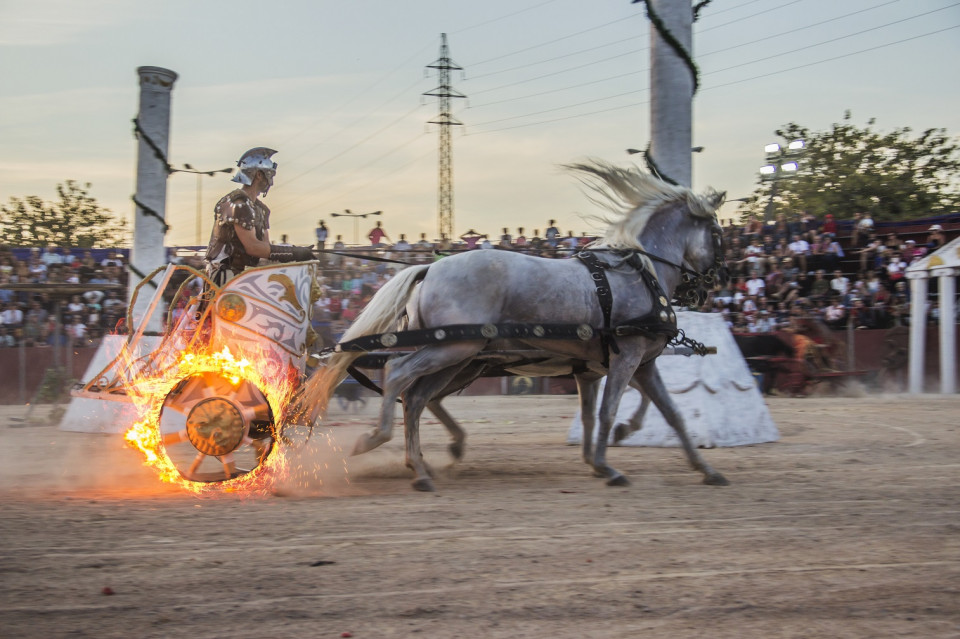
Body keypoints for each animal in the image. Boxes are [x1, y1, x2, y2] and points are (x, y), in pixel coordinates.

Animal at [300, 162, 728, 492]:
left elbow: (668, 413)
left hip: (458, 355)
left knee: (418, 397)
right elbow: (609, 411)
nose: (714, 283)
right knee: (397, 374)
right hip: (454, 350)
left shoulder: (633, 364)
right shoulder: (628, 357)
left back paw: (421, 465)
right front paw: (609, 466)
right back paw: (378, 440)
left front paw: (705, 469)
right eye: (718, 234)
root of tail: (429, 268)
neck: (641, 272)